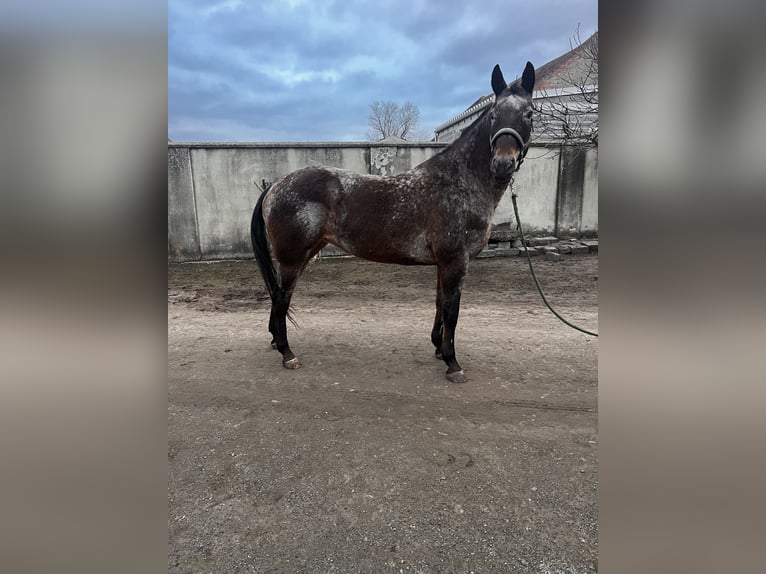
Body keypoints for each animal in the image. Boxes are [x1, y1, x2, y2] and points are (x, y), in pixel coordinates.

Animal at [250, 62, 536, 382]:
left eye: (529, 113)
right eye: (494, 115)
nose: (503, 164)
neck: (457, 183)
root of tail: (275, 186)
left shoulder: (443, 264)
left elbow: (440, 304)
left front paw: (439, 349)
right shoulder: (455, 261)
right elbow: (452, 311)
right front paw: (453, 363)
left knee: (278, 296)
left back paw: (276, 342)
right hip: (292, 258)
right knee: (281, 297)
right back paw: (287, 353)